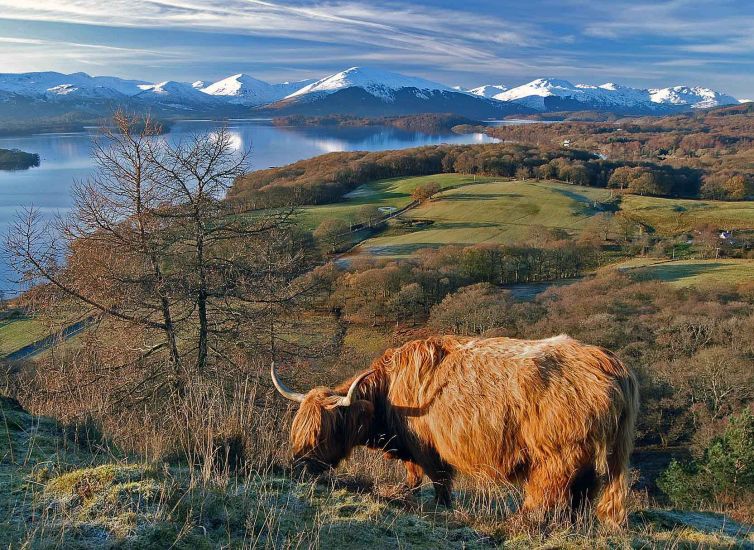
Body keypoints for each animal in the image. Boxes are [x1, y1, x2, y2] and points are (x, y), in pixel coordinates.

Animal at [270, 334, 636, 528]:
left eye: (321, 433)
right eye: (297, 430)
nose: (299, 466)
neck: (389, 392)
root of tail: (609, 363)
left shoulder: (429, 448)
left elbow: (439, 481)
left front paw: (441, 508)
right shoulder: (412, 450)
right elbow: (413, 477)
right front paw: (405, 495)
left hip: (558, 453)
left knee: (547, 489)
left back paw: (520, 520)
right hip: (598, 455)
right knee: (583, 493)